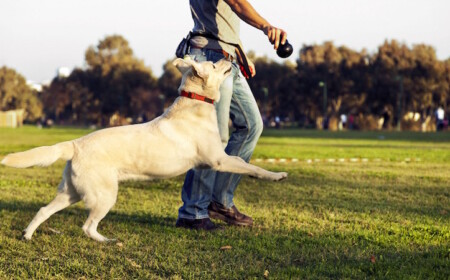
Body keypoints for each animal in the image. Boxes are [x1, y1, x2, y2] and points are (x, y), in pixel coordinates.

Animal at [0, 57, 284, 241]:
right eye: (214, 65)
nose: (230, 56)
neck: (195, 103)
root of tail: (75, 144)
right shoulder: (218, 160)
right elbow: (249, 166)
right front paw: (276, 175)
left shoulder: (214, 161)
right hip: (104, 195)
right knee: (87, 226)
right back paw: (106, 241)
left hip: (71, 193)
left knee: (43, 210)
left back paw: (27, 235)